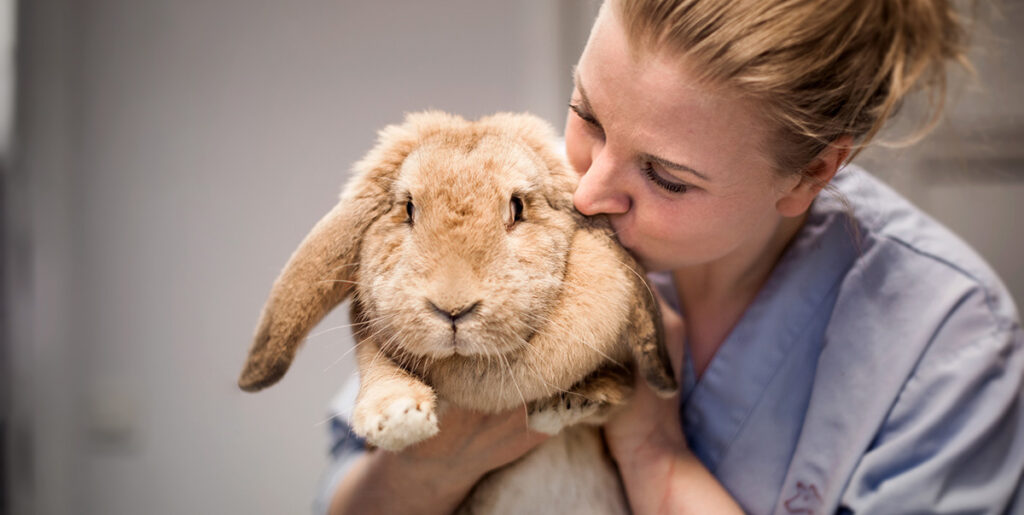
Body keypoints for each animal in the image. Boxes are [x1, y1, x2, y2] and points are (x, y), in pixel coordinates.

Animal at [235, 111, 675, 513]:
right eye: (408, 208)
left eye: (517, 207)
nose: (452, 308)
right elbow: (377, 367)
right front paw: (398, 417)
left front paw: (584, 398)